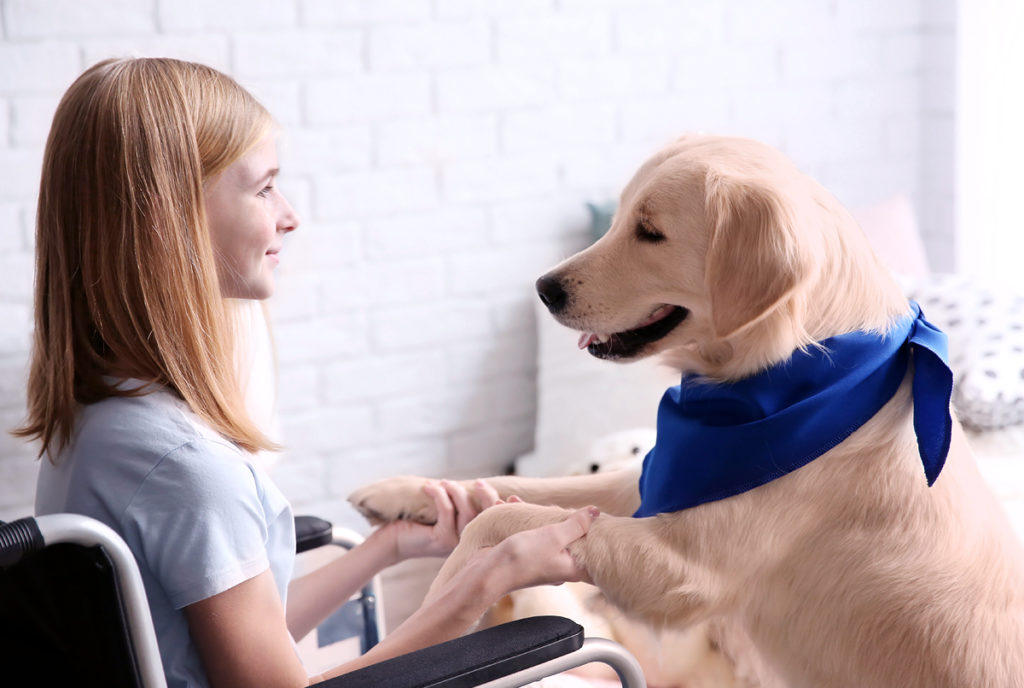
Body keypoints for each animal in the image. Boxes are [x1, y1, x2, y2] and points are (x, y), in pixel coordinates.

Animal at [352, 134, 1024, 688]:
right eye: (619, 218)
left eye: (650, 232)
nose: (544, 289)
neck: (801, 384)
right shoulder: (650, 481)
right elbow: (516, 486)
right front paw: (407, 493)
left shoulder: (684, 569)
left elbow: (500, 519)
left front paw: (448, 596)